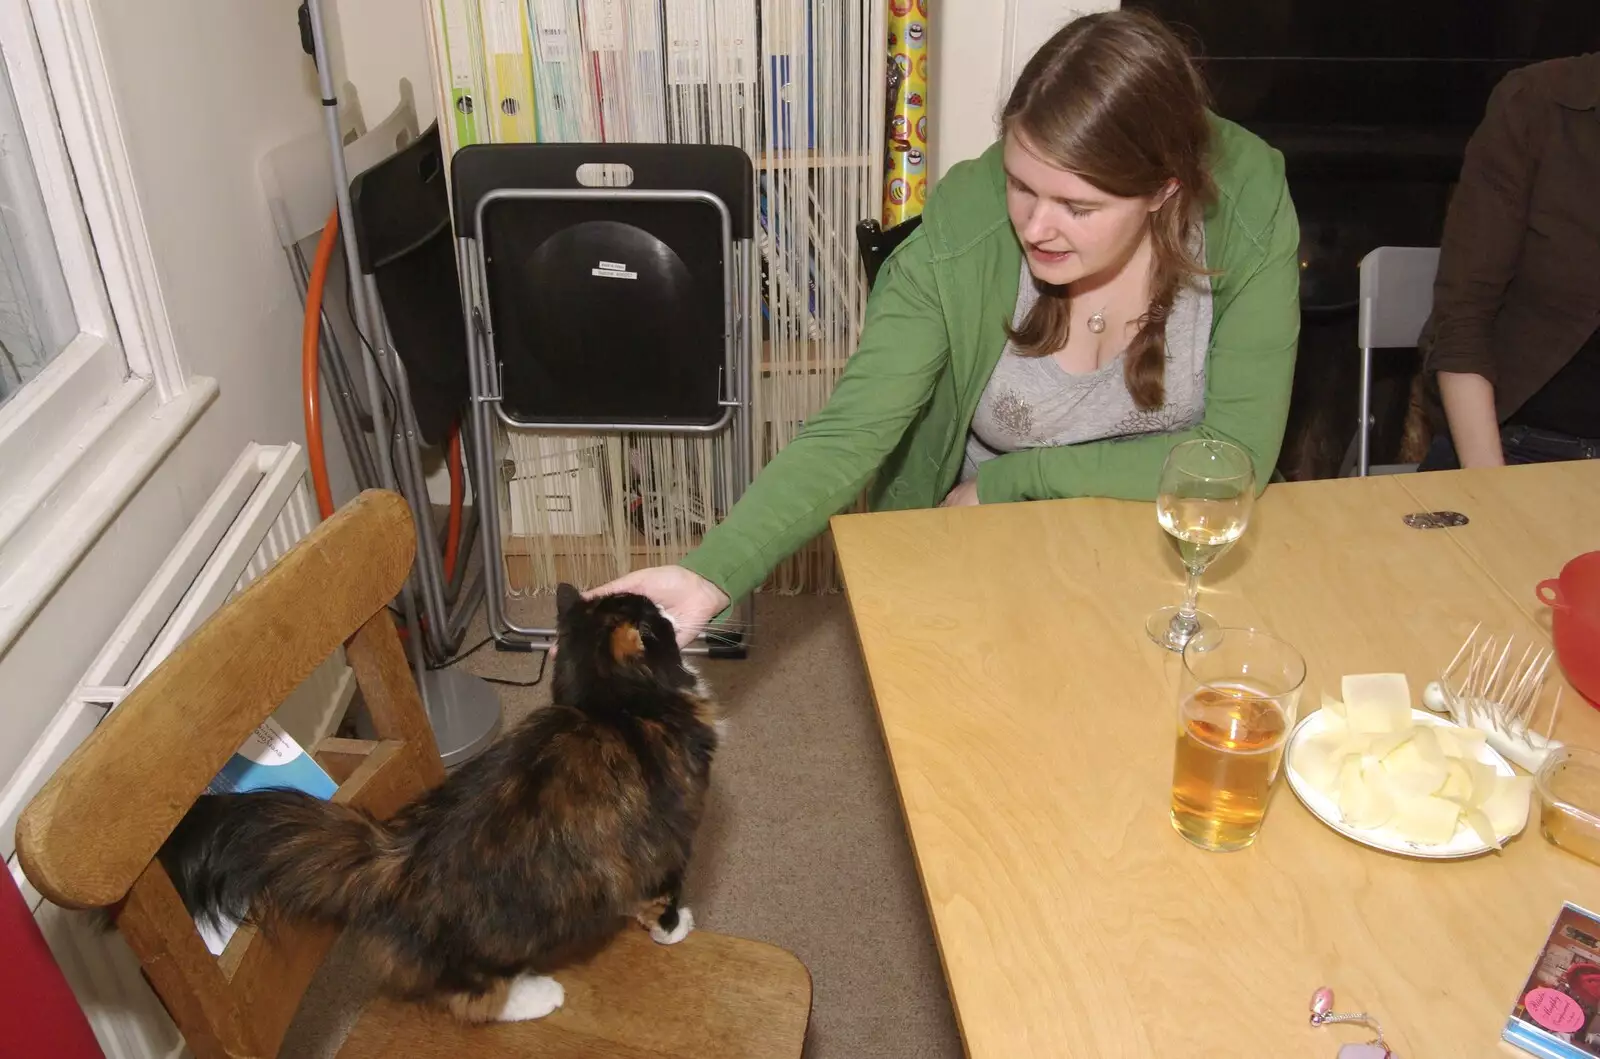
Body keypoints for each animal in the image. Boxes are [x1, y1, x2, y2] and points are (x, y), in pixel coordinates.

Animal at [157, 585, 720, 1023]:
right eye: (654, 617)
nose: (668, 609)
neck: (612, 705)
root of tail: (393, 857)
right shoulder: (674, 834)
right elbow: (663, 896)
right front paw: (673, 930)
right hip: (491, 941)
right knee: (472, 999)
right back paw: (539, 994)